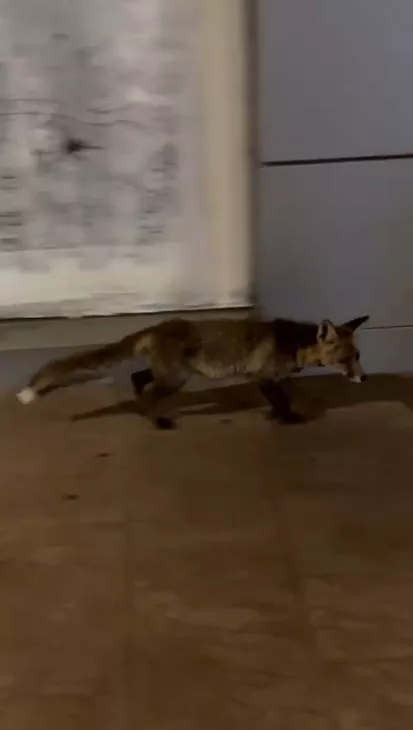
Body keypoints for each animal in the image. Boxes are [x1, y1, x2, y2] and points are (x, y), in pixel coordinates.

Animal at [16, 314, 369, 429]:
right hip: (176, 379)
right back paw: (156, 420)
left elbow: (278, 400)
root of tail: (157, 327)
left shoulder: (267, 379)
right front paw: (288, 418)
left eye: (358, 356)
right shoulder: (261, 375)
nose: (363, 378)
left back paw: (141, 405)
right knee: (148, 392)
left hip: (168, 374)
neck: (294, 343)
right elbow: (282, 400)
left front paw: (277, 416)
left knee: (137, 378)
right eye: (345, 359)